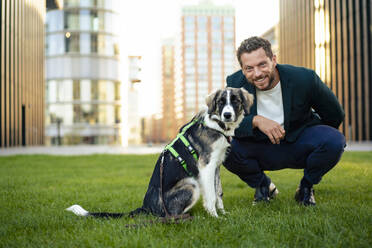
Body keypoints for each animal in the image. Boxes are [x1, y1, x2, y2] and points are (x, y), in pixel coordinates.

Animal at [67, 87, 253, 219]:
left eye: (235, 101)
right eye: (220, 102)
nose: (227, 115)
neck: (218, 126)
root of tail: (146, 208)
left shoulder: (216, 166)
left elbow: (219, 192)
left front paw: (222, 213)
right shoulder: (206, 167)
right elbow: (212, 196)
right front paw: (215, 217)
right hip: (191, 185)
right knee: (170, 216)